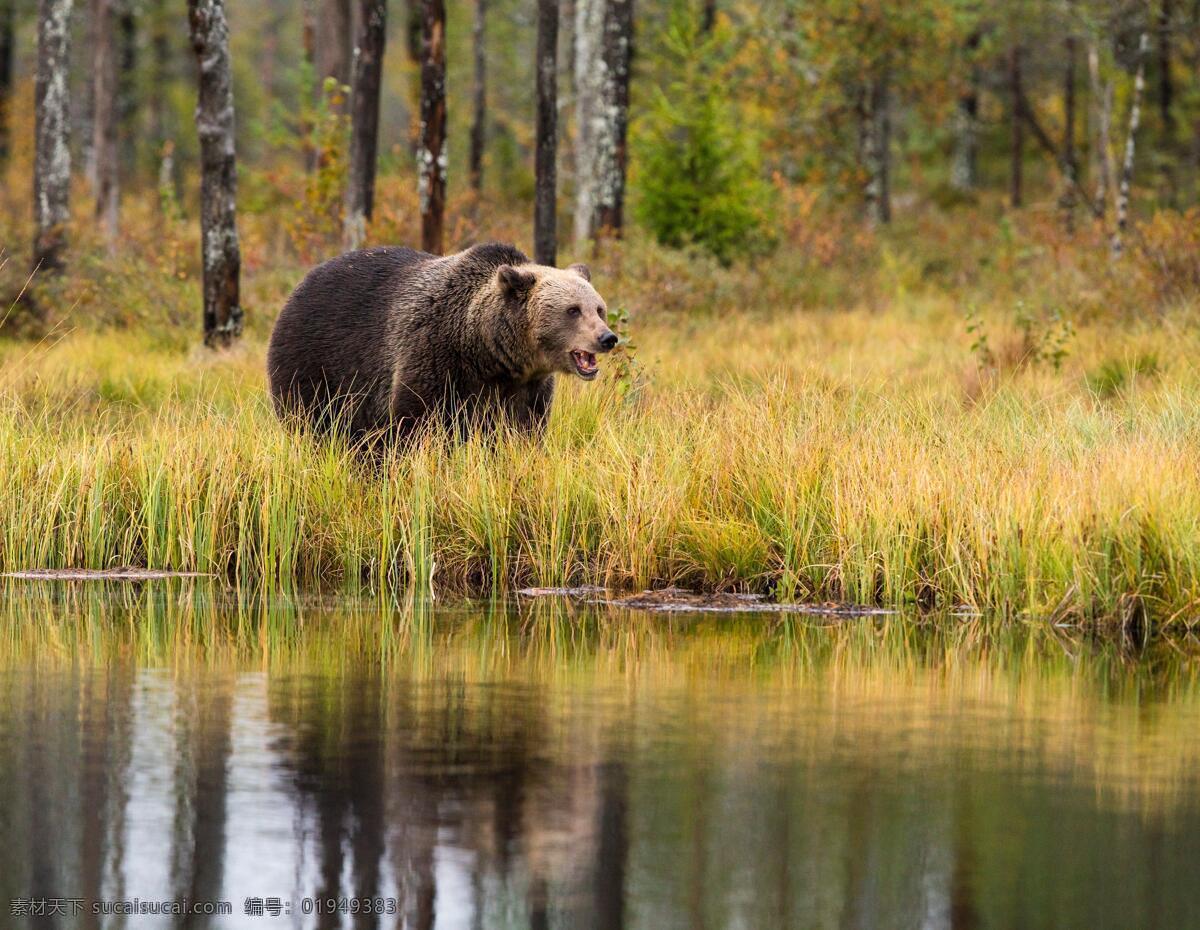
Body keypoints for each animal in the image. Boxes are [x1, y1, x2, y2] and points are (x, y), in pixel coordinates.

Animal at [267, 242, 617, 445]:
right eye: (573, 310)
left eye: (599, 308)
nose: (607, 337)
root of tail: (300, 284)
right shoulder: (434, 357)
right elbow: (415, 422)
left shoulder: (525, 388)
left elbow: (523, 431)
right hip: (315, 362)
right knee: (314, 422)